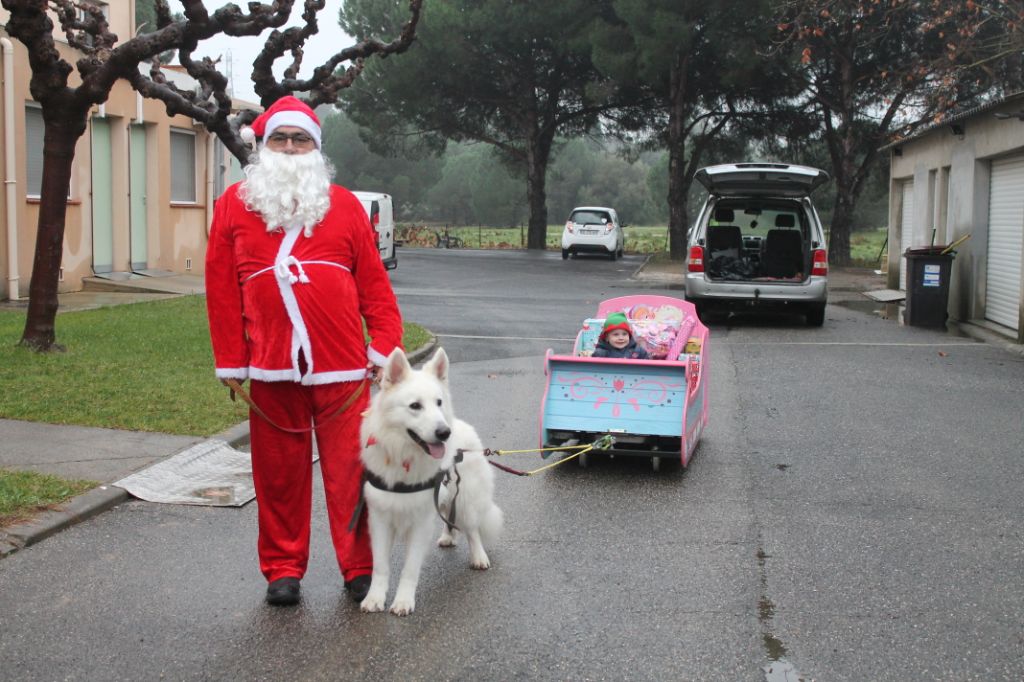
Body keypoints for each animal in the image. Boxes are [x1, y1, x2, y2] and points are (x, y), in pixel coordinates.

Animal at [360, 348, 503, 614]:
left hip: (467, 502)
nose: (444, 433)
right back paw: (448, 537)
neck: (404, 456)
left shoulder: (420, 523)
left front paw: (403, 601)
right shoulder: (380, 520)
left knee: (472, 530)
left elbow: (409, 569)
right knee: (449, 516)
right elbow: (380, 566)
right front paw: (374, 598)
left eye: (438, 403)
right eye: (415, 406)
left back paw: (479, 557)